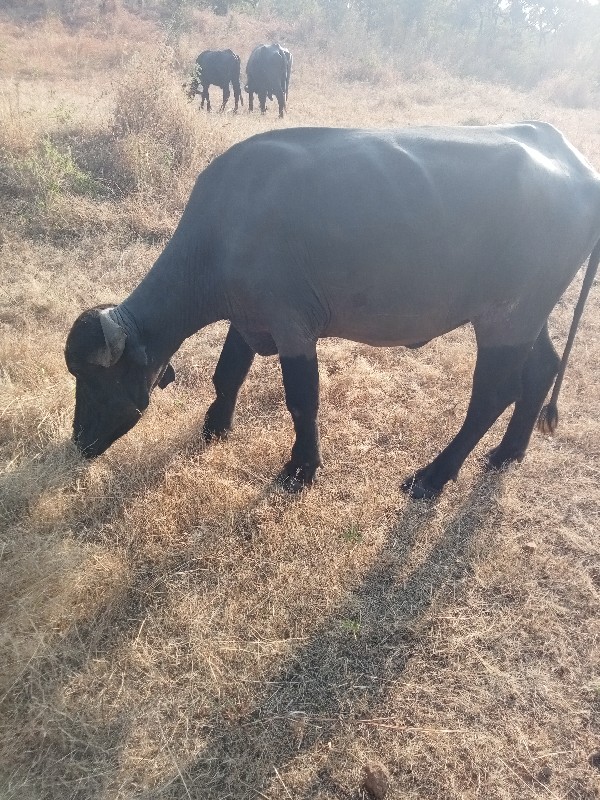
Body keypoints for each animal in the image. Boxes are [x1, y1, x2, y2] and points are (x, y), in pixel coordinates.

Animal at [65, 123, 600, 500]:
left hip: (507, 317)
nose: (80, 442)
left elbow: (302, 399)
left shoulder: (292, 326)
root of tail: (577, 168)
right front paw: (216, 425)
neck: (225, 228)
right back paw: (509, 452)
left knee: (492, 394)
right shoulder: (248, 316)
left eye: (96, 380)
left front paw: (301, 468)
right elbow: (228, 373)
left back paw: (433, 476)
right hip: (527, 314)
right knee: (541, 370)